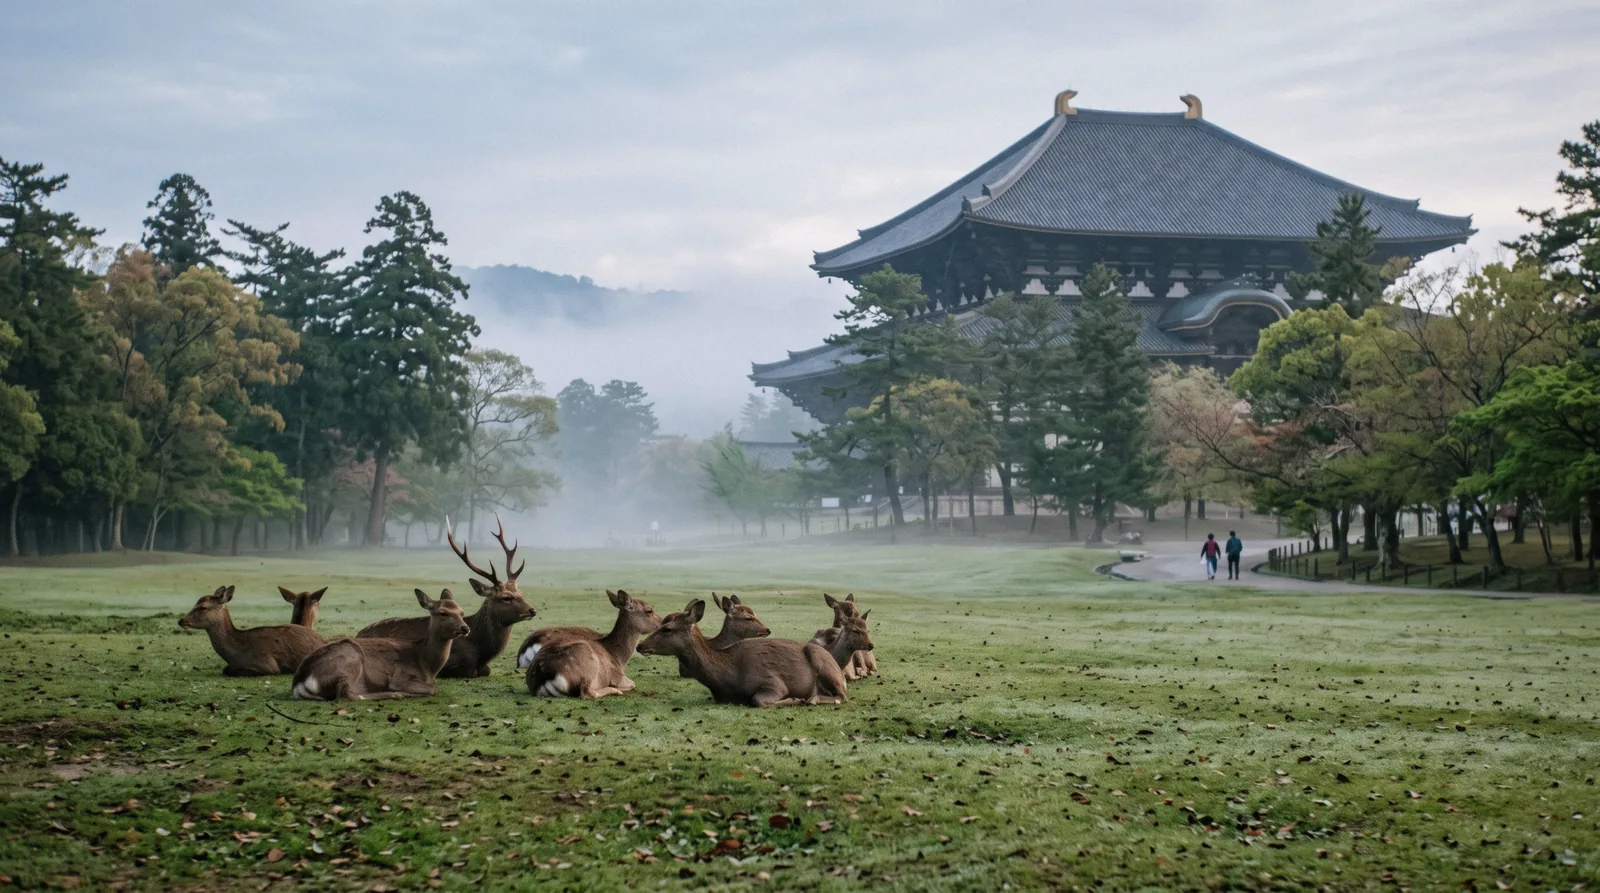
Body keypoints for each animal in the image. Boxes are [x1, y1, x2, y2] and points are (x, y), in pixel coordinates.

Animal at [293, 588, 470, 701]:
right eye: (443, 613)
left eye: (461, 612)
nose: (465, 628)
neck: (425, 665)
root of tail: (299, 683)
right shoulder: (400, 677)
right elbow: (433, 689)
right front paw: (402, 692)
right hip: (349, 658)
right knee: (345, 695)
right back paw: (395, 694)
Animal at [357, 517, 535, 678]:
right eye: (506, 597)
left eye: (521, 594)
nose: (532, 610)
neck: (481, 651)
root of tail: (357, 635)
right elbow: (471, 671)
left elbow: (486, 670)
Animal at [524, 590, 662, 699]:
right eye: (649, 610)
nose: (662, 621)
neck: (618, 658)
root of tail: (542, 680)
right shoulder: (617, 675)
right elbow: (633, 683)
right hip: (586, 660)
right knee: (587, 693)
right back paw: (615, 690)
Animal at [636, 599, 846, 707]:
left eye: (667, 629)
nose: (640, 646)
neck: (727, 678)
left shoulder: (773, 681)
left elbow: (757, 700)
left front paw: (796, 699)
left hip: (823, 661)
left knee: (842, 695)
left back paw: (812, 699)